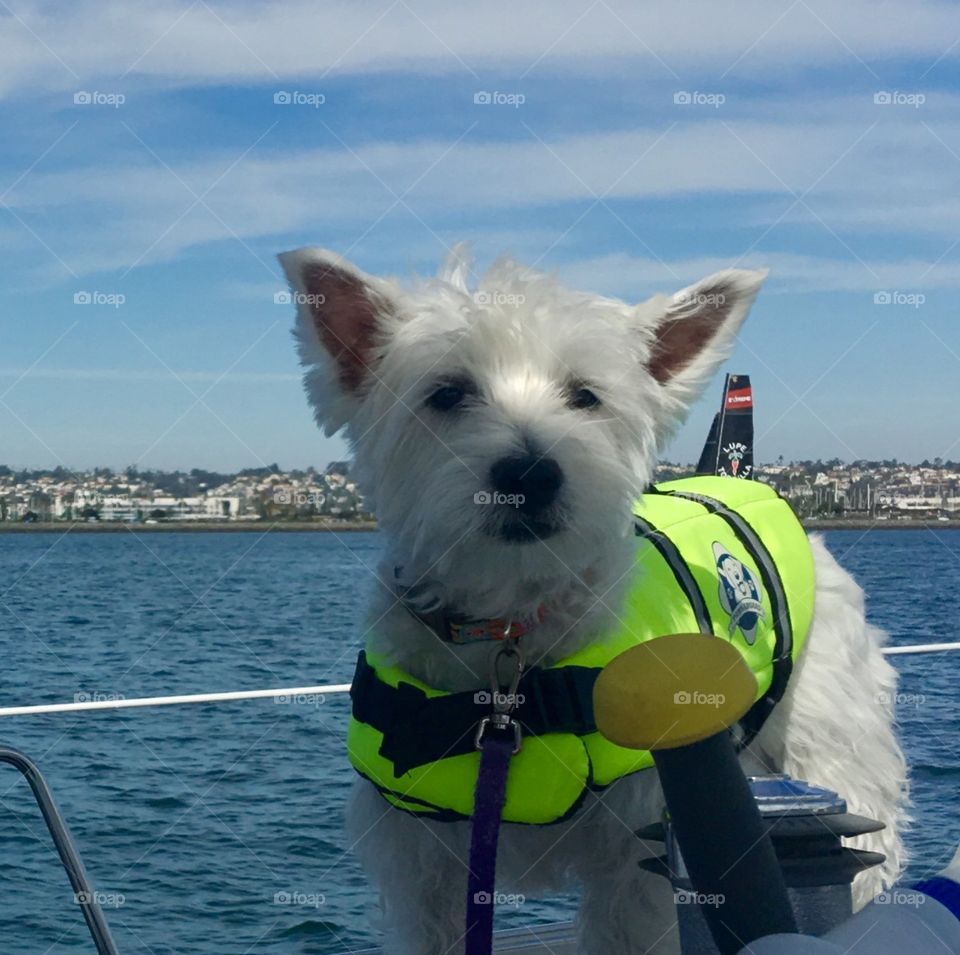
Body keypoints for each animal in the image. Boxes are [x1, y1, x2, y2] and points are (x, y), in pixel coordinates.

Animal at [280, 248, 908, 955]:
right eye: (447, 393)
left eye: (585, 396)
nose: (529, 474)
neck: (509, 638)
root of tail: (745, 481)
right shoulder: (424, 860)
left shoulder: (643, 851)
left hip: (830, 751)